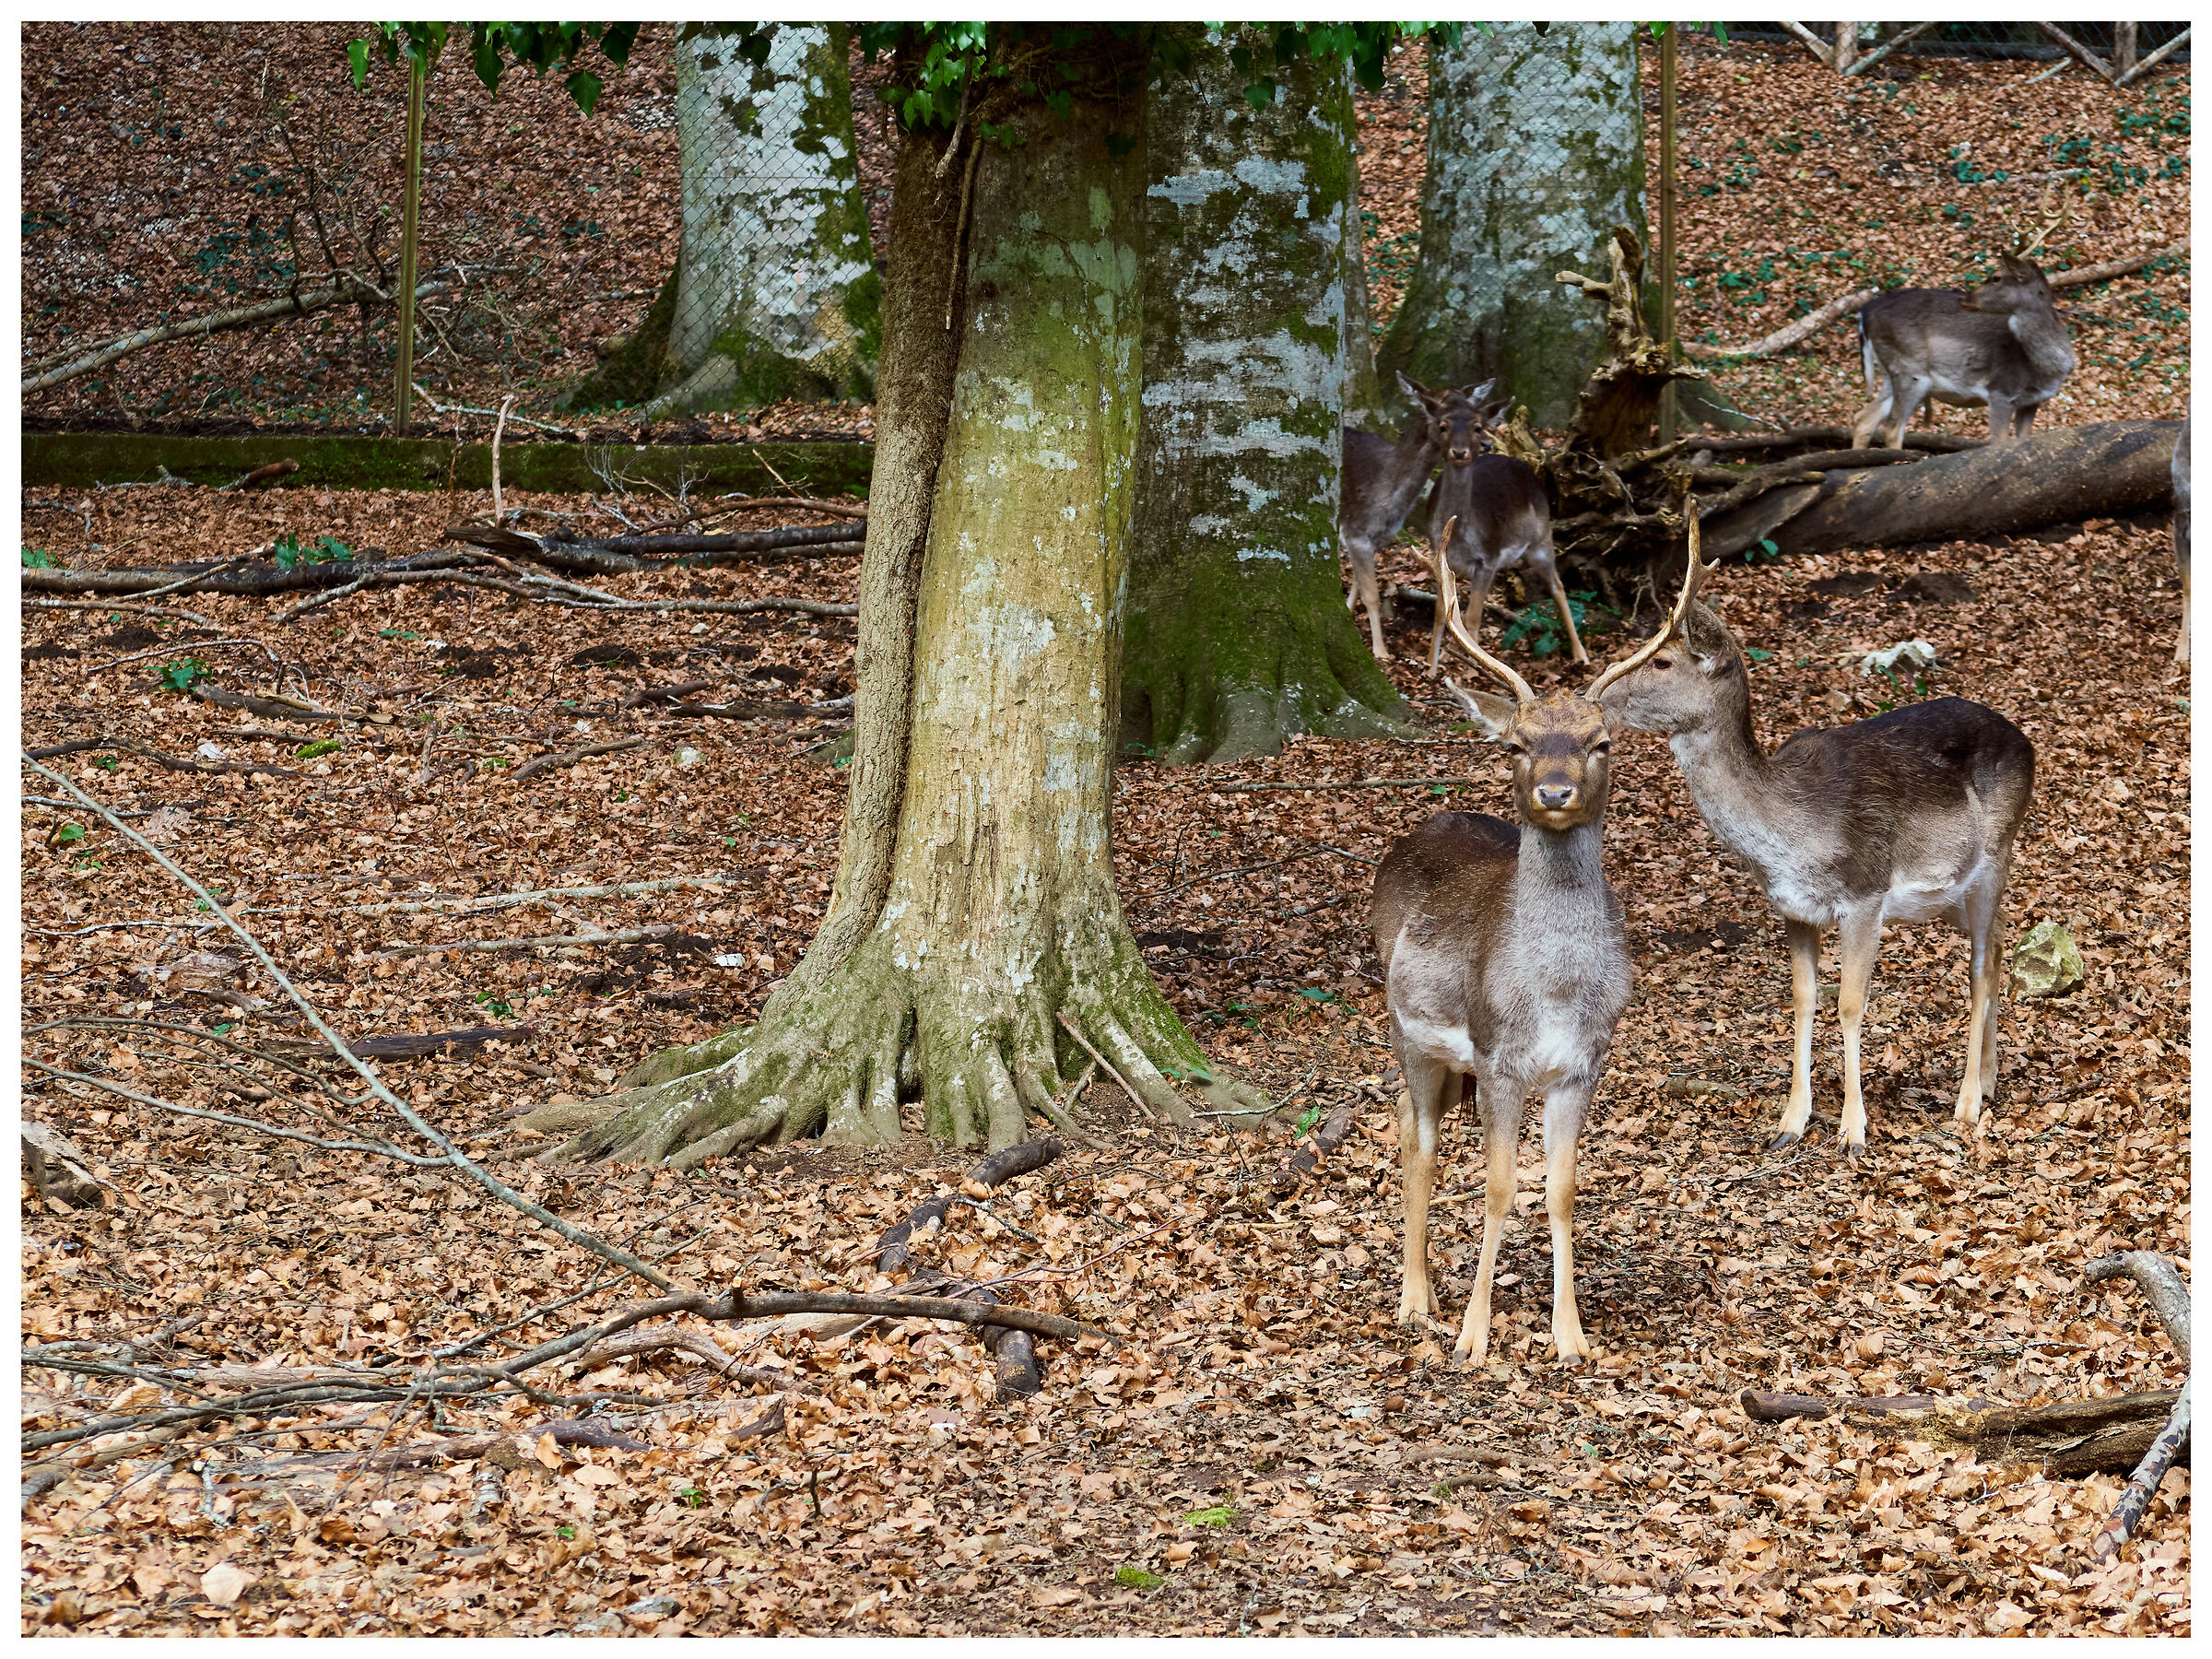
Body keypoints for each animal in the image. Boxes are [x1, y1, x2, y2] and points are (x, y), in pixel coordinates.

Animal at [1341, 373, 1496, 660]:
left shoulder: (1374, 537)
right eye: (1442, 421)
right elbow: (1371, 594)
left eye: (1476, 418)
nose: (1487, 443)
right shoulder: (1355, 532)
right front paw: (1380, 652)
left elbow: (1357, 584)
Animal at [1372, 518, 1711, 1367]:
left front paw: (1571, 1336)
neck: (1554, 992)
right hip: (1407, 1032)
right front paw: (1472, 1337)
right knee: (1415, 1142)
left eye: (1601, 742)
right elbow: (1499, 1186)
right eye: (1517, 744)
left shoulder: (1583, 1063)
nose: (1555, 791)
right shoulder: (1499, 1056)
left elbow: (1559, 1187)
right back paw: (1416, 1302)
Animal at [1422, 451, 1587, 676]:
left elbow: (1473, 616)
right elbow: (1440, 613)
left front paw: (1473, 672)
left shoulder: (1488, 561)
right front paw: (1430, 667)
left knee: (1558, 587)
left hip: (1541, 542)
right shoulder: (1441, 563)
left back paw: (1581, 654)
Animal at [1595, 523, 2037, 1157]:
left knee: (1980, 964)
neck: (1789, 836)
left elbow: (1851, 1004)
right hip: (1951, 895)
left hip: (1996, 856)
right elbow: (1805, 999)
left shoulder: (1865, 894)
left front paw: (1853, 1131)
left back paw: (1969, 1103)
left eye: (1662, 661)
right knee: (1999, 942)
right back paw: (1992, 1077)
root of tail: (2029, 744)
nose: (1596, 694)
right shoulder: (1793, 908)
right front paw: (1791, 1122)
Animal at [1849, 250, 2076, 451]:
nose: (1965, 298)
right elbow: (1999, 443)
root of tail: (1864, 312)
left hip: (1890, 372)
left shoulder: (2032, 402)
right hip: (1911, 370)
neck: (2044, 369)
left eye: (1996, 277)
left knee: (1864, 418)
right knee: (1893, 428)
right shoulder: (2000, 390)